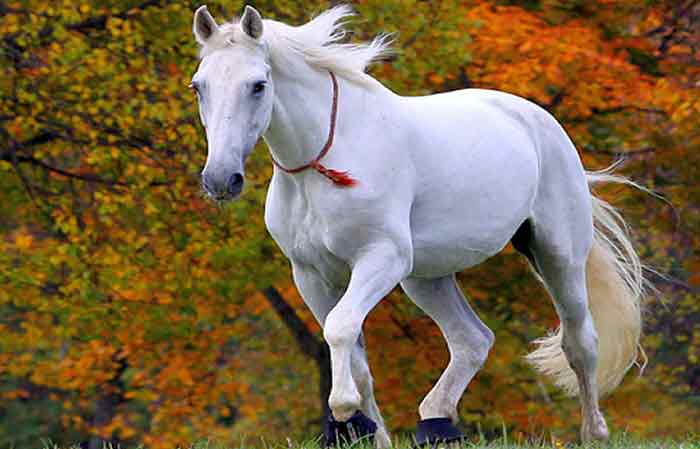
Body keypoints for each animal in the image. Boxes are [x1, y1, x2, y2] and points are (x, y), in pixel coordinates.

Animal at [189, 5, 646, 447]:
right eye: (199, 86)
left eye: (258, 85)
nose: (221, 180)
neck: (324, 161)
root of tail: (539, 121)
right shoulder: (311, 275)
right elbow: (356, 355)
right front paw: (370, 433)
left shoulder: (381, 259)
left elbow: (340, 328)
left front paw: (344, 409)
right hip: (427, 278)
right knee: (471, 340)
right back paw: (436, 424)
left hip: (556, 257)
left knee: (580, 341)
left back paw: (593, 433)